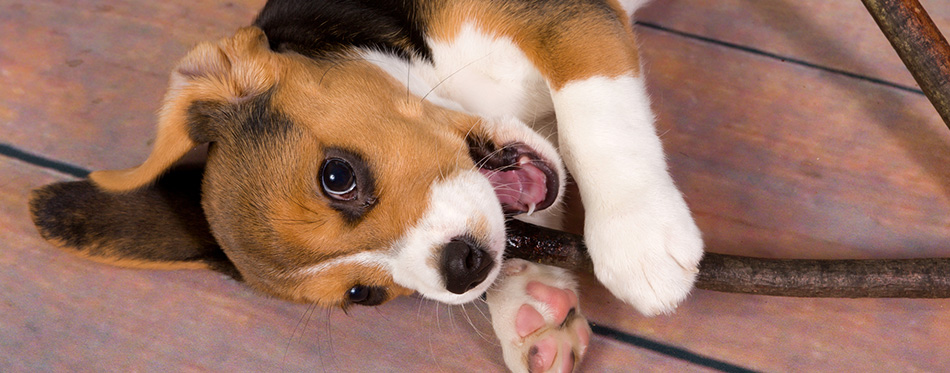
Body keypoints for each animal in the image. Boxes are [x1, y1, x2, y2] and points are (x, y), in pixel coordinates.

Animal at [29, 0, 704, 370]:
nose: (462, 267)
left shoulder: (567, 21)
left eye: (338, 176)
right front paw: (532, 307)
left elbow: (596, 107)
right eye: (364, 296)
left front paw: (639, 234)